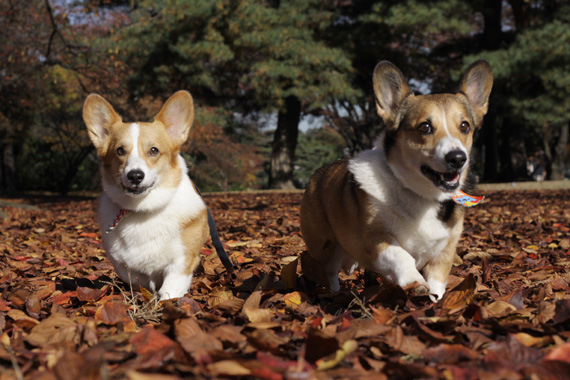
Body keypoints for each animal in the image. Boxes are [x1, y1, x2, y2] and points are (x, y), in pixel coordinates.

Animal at [82, 90, 209, 300]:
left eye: (154, 150)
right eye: (120, 151)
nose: (134, 176)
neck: (143, 210)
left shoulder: (181, 263)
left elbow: (168, 293)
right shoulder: (123, 265)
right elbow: (137, 279)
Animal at [300, 60, 490, 302]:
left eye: (465, 126)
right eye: (425, 127)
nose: (457, 158)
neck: (422, 195)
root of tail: (318, 173)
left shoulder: (444, 253)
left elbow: (437, 284)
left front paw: (433, 301)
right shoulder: (375, 240)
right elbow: (401, 255)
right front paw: (414, 281)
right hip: (326, 247)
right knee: (330, 273)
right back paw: (333, 293)